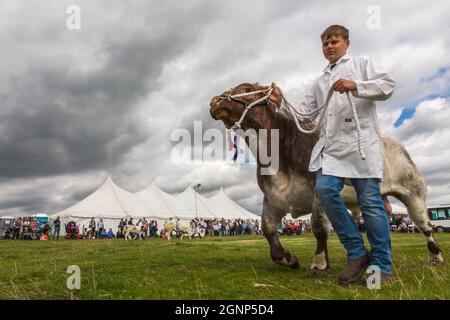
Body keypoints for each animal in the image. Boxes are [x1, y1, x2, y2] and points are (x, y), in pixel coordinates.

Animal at [209, 82, 444, 276]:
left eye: (246, 88)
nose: (215, 101)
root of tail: (396, 145)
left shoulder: (318, 194)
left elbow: (319, 227)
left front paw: (320, 264)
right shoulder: (273, 198)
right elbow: (268, 230)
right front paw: (289, 259)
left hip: (413, 193)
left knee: (425, 226)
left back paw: (436, 257)